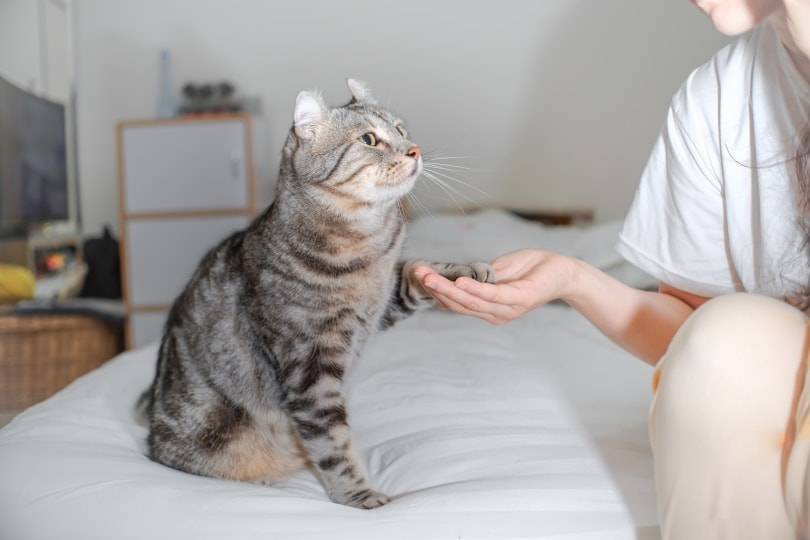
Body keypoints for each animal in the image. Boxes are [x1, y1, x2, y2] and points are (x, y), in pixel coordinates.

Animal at [138, 78, 492, 508]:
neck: (367, 246)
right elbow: (333, 444)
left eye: (400, 129)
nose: (415, 149)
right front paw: (359, 495)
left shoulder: (383, 301)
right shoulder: (310, 367)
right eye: (369, 139)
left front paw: (462, 272)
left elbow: (417, 271)